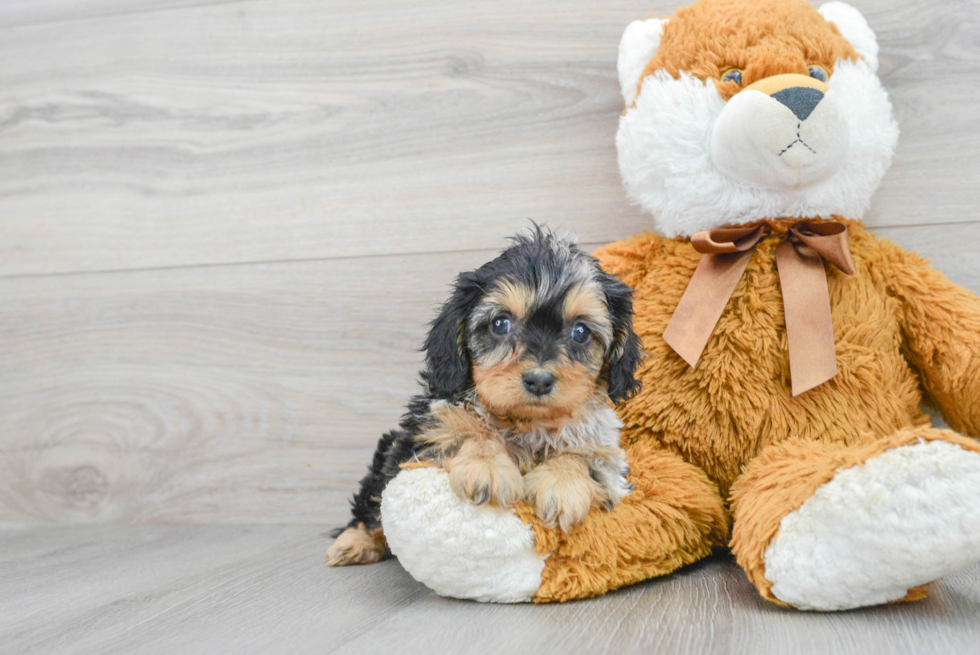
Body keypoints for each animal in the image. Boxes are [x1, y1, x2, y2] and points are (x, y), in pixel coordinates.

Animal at [328, 228, 644, 568]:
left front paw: (562, 483)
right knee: (371, 505)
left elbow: (586, 455)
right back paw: (354, 542)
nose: (539, 380)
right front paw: (487, 467)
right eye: (500, 323)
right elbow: (466, 429)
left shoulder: (609, 455)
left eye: (581, 332)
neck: (525, 424)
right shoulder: (425, 426)